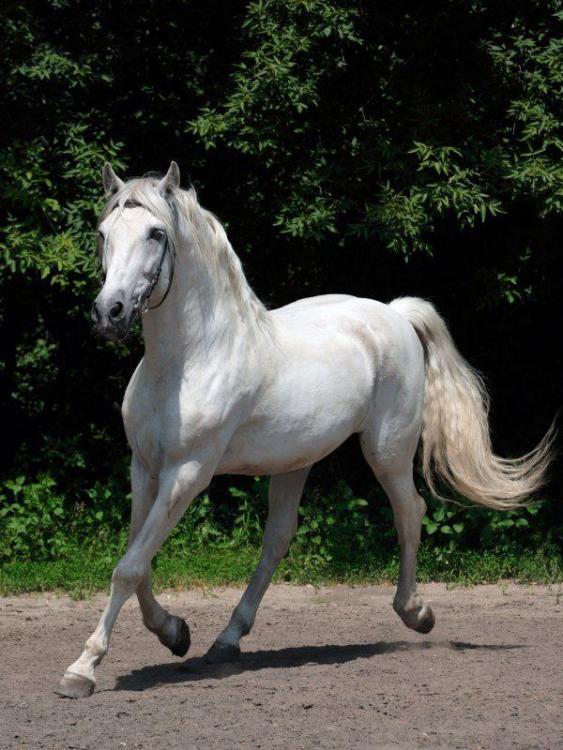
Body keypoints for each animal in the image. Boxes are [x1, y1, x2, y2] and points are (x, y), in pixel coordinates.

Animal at [57, 162, 554, 698]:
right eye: (103, 233)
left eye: (156, 233)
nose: (110, 312)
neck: (187, 360)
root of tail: (394, 312)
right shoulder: (144, 467)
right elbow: (140, 561)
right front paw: (174, 633)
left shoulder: (187, 474)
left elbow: (129, 566)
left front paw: (82, 669)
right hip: (296, 461)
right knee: (278, 538)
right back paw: (226, 641)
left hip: (388, 451)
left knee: (410, 512)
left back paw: (416, 613)